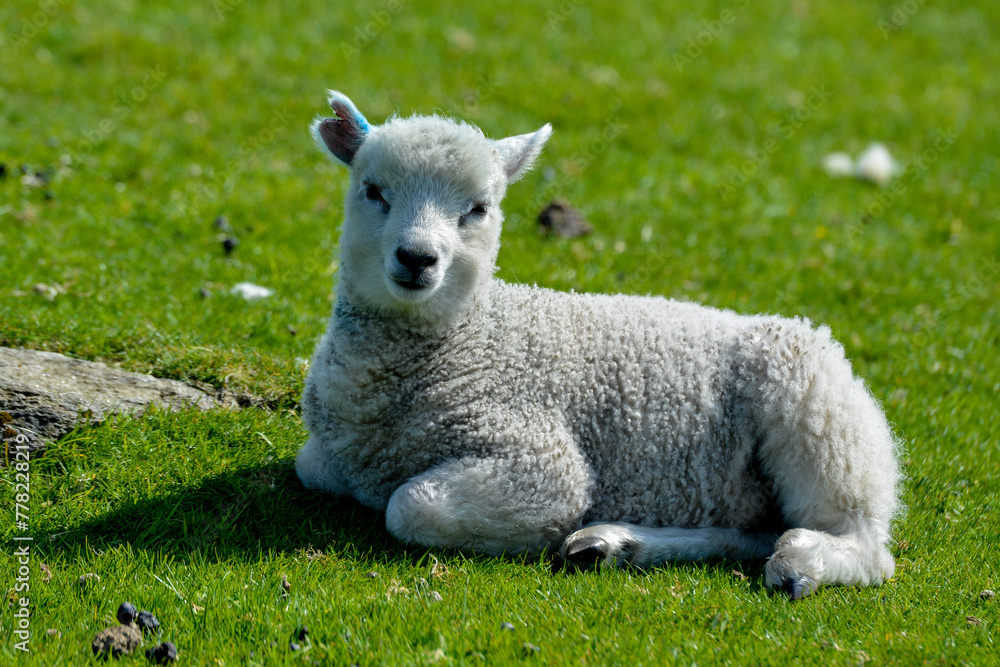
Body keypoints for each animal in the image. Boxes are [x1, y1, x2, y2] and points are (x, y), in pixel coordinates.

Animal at [295, 91, 902, 599]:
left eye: (479, 209)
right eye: (373, 191)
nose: (417, 258)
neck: (469, 341)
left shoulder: (536, 456)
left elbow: (409, 506)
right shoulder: (328, 456)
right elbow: (310, 466)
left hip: (818, 416)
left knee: (862, 544)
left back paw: (801, 564)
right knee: (755, 531)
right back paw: (615, 545)